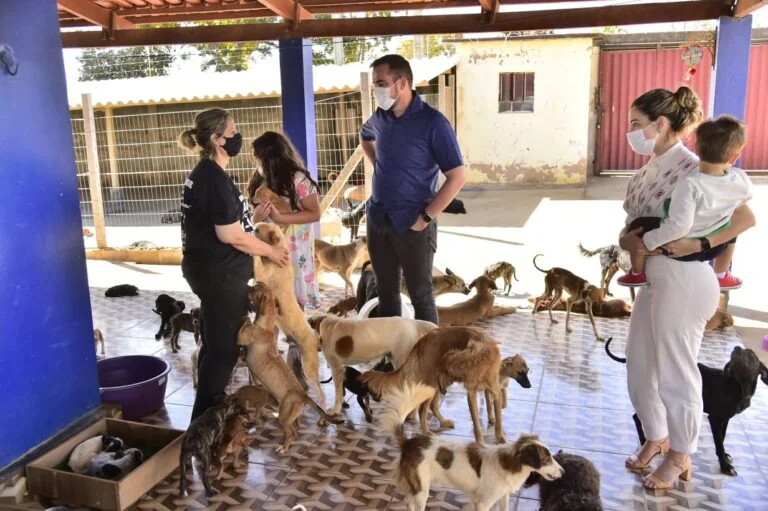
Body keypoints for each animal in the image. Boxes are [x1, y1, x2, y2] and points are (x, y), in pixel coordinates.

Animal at [236, 284, 340, 456]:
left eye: (256, 288)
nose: (247, 287)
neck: (266, 324)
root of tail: (304, 397)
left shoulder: (241, 337)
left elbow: (244, 326)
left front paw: (246, 318)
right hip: (289, 416)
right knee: (295, 429)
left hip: (284, 418)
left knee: (291, 433)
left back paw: (283, 448)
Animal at [252, 224, 324, 408]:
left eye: (257, 231)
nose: (250, 228)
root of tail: (315, 336)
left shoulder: (261, 272)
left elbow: (257, 261)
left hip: (309, 367)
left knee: (321, 393)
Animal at [364, 328, 508, 444]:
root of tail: (422, 340)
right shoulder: (471, 395)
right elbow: (477, 422)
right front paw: (480, 441)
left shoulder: (495, 391)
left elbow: (497, 415)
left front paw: (499, 435)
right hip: (432, 385)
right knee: (423, 409)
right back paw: (426, 432)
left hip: (438, 385)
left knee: (433, 406)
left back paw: (443, 422)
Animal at [608, 340, 764, 476]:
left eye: (750, 353)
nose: (736, 347)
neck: (736, 385)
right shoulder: (715, 418)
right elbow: (719, 442)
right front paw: (725, 465)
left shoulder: (725, 419)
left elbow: (723, 437)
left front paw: (725, 457)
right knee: (638, 416)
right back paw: (644, 440)